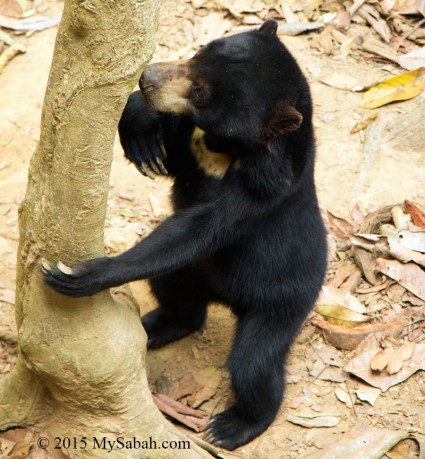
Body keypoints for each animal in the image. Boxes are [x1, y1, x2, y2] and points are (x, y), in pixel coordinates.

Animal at [41, 20, 326, 450]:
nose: (147, 77)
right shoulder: (193, 146)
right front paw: (142, 133)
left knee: (254, 362)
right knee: (176, 293)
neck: (224, 147)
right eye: (199, 52)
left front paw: (78, 274)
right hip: (189, 273)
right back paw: (158, 326)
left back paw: (233, 425)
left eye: (200, 93)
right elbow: (170, 158)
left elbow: (199, 227)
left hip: (286, 297)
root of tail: (227, 299)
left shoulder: (264, 187)